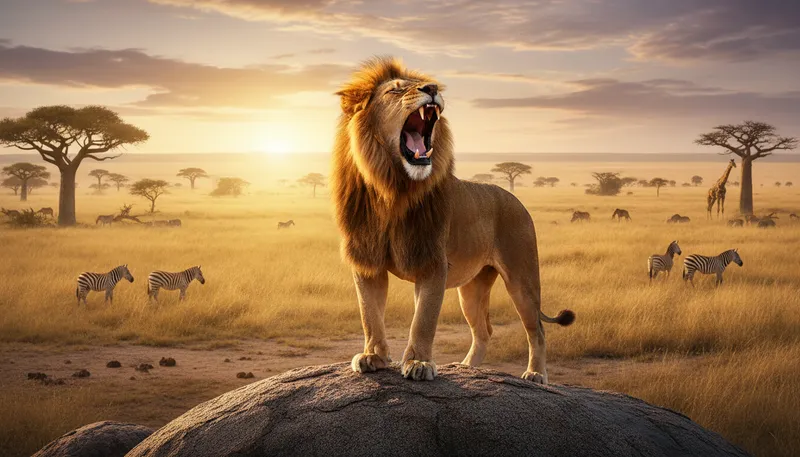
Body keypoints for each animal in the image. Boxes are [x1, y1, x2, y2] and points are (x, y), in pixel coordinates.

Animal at [331, 57, 575, 383]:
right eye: (395, 90)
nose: (432, 87)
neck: (392, 189)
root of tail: (515, 199)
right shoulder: (367, 261)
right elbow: (369, 314)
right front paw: (374, 357)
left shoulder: (433, 263)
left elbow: (423, 320)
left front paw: (419, 363)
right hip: (471, 289)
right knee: (484, 330)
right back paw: (466, 368)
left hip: (522, 278)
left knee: (537, 329)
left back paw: (535, 374)